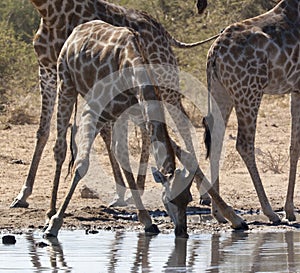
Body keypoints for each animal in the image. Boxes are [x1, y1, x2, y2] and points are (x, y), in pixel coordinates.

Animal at [10, 0, 212, 208]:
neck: (50, 14)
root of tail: (162, 30)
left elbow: (105, 133)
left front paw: (121, 191)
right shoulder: (47, 70)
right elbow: (43, 131)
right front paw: (23, 194)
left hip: (165, 80)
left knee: (182, 124)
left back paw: (203, 193)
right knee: (149, 128)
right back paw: (142, 188)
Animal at [44, 19, 195, 236]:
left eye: (188, 199)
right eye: (170, 199)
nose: (182, 231)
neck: (131, 66)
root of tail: (77, 30)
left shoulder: (132, 111)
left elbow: (123, 154)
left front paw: (147, 221)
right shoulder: (93, 109)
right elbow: (82, 164)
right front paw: (55, 224)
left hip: (110, 112)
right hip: (66, 84)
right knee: (60, 147)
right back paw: (50, 212)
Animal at [203, 0, 298, 222]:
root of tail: (215, 52)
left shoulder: (296, 89)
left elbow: (294, 146)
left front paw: (290, 209)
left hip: (221, 91)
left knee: (216, 138)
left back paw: (219, 212)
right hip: (249, 91)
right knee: (244, 144)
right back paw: (269, 211)